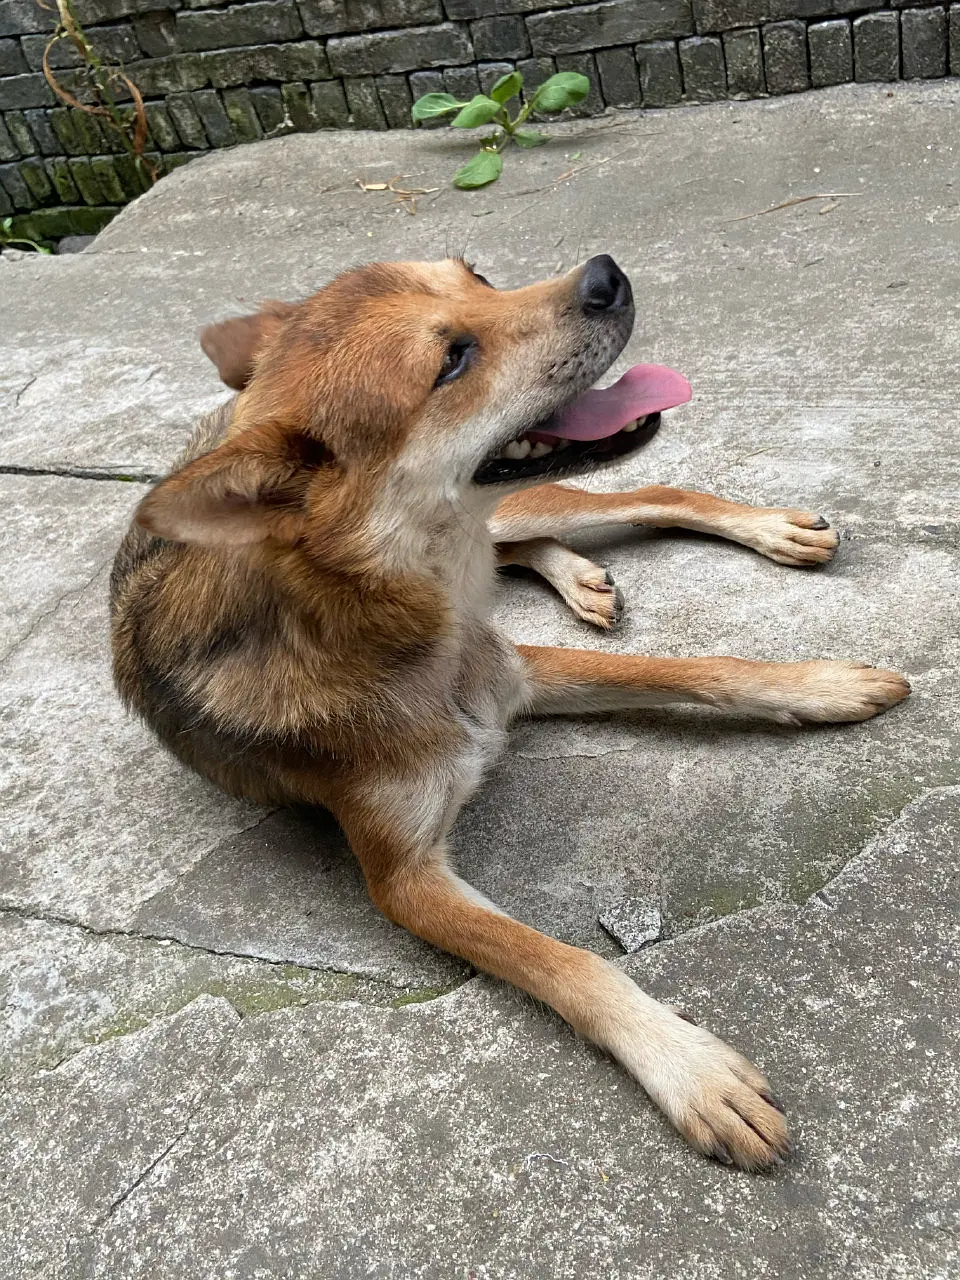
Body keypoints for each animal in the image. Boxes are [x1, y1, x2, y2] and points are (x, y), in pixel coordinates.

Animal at [110, 256, 909, 1172]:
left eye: (476, 275)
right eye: (452, 360)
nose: (606, 274)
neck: (410, 613)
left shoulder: (512, 673)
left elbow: (706, 667)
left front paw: (821, 683)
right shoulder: (408, 880)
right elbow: (564, 962)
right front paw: (689, 1068)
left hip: (540, 497)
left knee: (647, 490)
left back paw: (763, 530)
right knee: (531, 540)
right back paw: (582, 577)